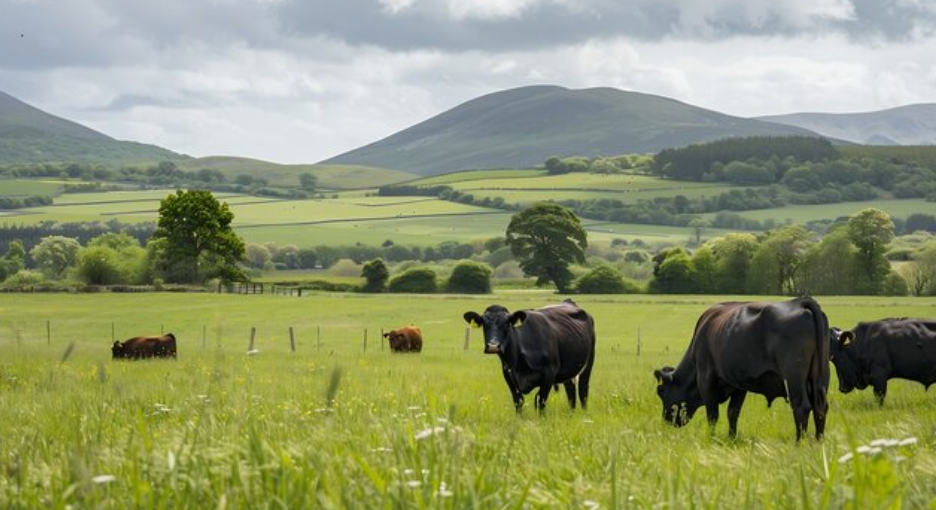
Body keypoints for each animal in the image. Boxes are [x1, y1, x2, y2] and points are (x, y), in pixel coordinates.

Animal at [463, 299, 596, 413]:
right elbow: (518, 401)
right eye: (484, 324)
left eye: (507, 323)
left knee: (583, 390)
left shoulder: (550, 372)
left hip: (588, 363)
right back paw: (571, 413)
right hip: (569, 370)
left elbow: (540, 400)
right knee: (571, 392)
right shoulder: (508, 374)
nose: (493, 346)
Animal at [653, 297, 829, 441]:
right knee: (820, 407)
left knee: (801, 406)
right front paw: (731, 438)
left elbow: (713, 414)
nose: (666, 421)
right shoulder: (738, 384)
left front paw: (711, 438)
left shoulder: (705, 378)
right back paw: (818, 442)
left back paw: (799, 443)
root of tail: (799, 302)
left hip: (793, 377)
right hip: (819, 378)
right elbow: (733, 412)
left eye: (661, 391)